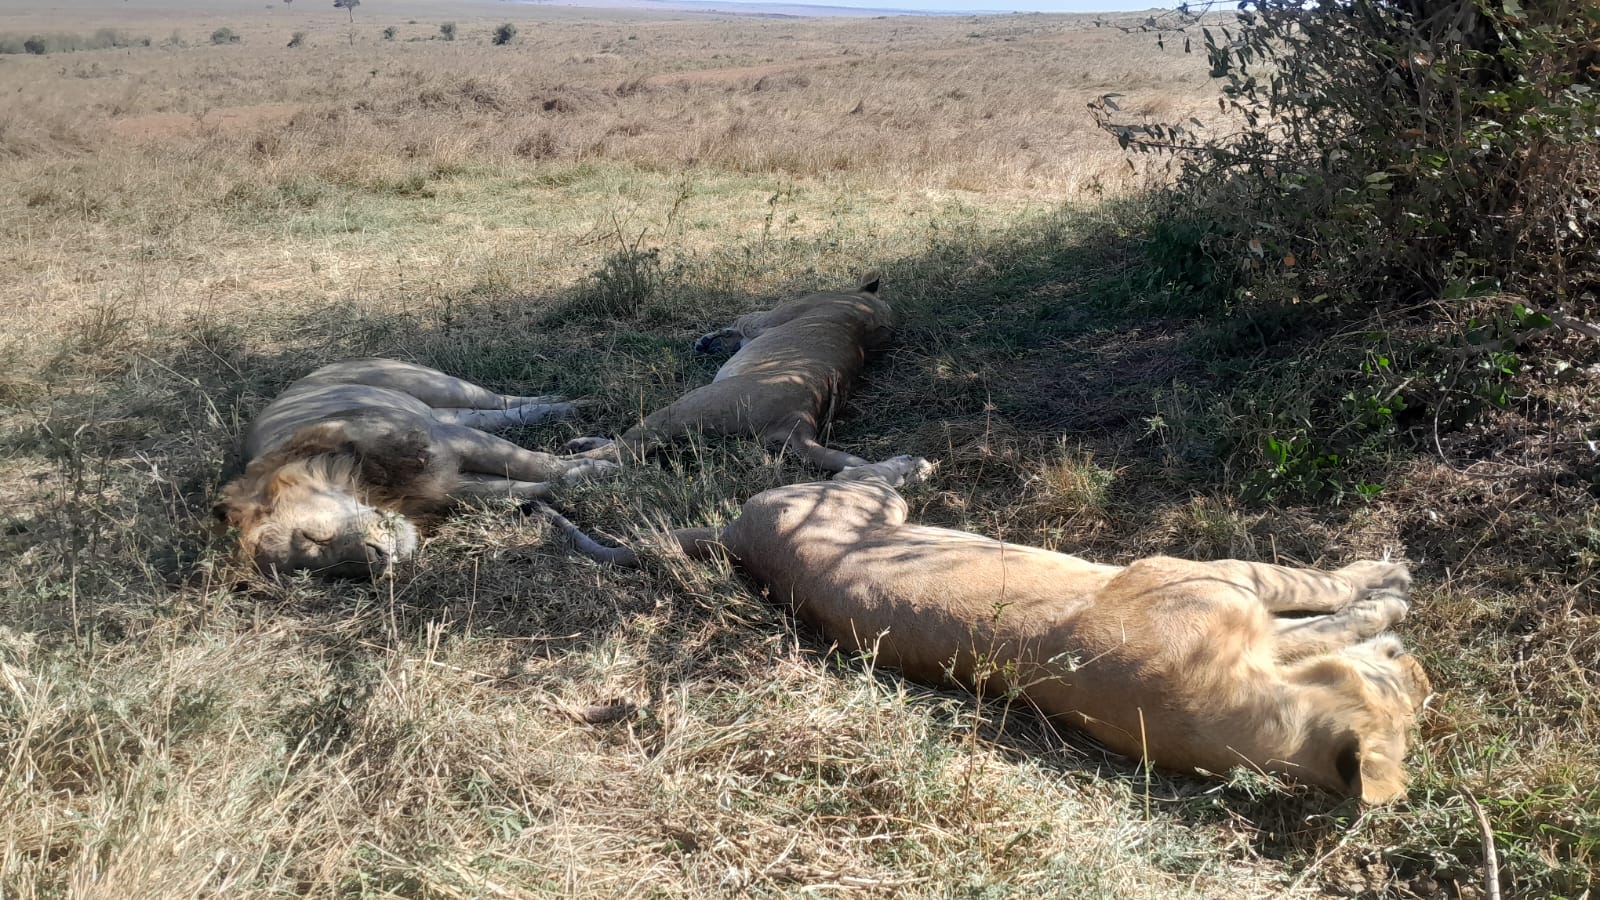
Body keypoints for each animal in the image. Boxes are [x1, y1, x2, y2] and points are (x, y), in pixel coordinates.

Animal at [214, 358, 619, 577]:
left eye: (312, 538)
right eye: (332, 571)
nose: (379, 562)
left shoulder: (446, 442)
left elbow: (535, 463)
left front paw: (611, 464)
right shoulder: (451, 484)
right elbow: (538, 483)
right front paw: (593, 468)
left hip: (435, 387)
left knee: (504, 401)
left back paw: (572, 403)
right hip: (447, 413)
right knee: (498, 415)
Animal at [565, 270, 906, 475]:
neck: (867, 320)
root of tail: (801, 419)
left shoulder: (764, 318)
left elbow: (740, 323)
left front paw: (708, 341)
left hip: (687, 404)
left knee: (628, 449)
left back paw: (568, 462)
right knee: (634, 443)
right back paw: (579, 445)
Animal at [589, 459, 1431, 802]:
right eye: (1405, 694)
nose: (1424, 673)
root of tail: (736, 538)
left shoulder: (1260, 634)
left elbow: (1314, 627)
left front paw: (1383, 599)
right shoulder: (1222, 573)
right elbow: (1324, 590)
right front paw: (1392, 582)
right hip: (862, 508)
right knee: (860, 469)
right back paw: (917, 457)